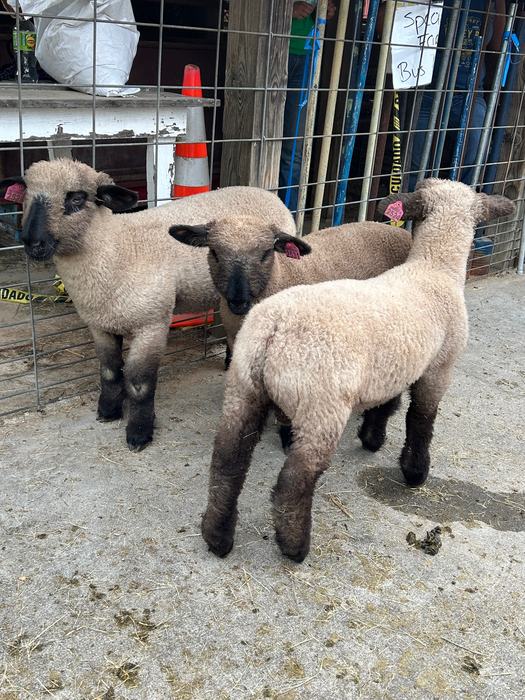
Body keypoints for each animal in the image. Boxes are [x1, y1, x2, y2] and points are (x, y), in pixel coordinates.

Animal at [0, 159, 295, 451]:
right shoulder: (100, 324)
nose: (32, 242)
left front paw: (139, 433)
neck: (116, 250)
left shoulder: (151, 324)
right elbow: (109, 371)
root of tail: (265, 193)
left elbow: (140, 384)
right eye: (26, 194)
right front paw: (108, 411)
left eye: (77, 198)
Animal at [169, 217, 412, 447]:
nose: (238, 300)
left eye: (266, 253)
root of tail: (400, 231)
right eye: (214, 252)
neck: (282, 274)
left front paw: (287, 435)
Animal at [199, 179, 514, 563]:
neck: (433, 267)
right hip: (321, 406)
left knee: (227, 463)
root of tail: (273, 328)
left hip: (244, 388)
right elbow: (422, 419)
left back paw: (218, 537)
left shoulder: (393, 366)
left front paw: (372, 438)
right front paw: (415, 471)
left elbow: (386, 405)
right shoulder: (440, 366)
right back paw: (294, 546)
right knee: (294, 480)